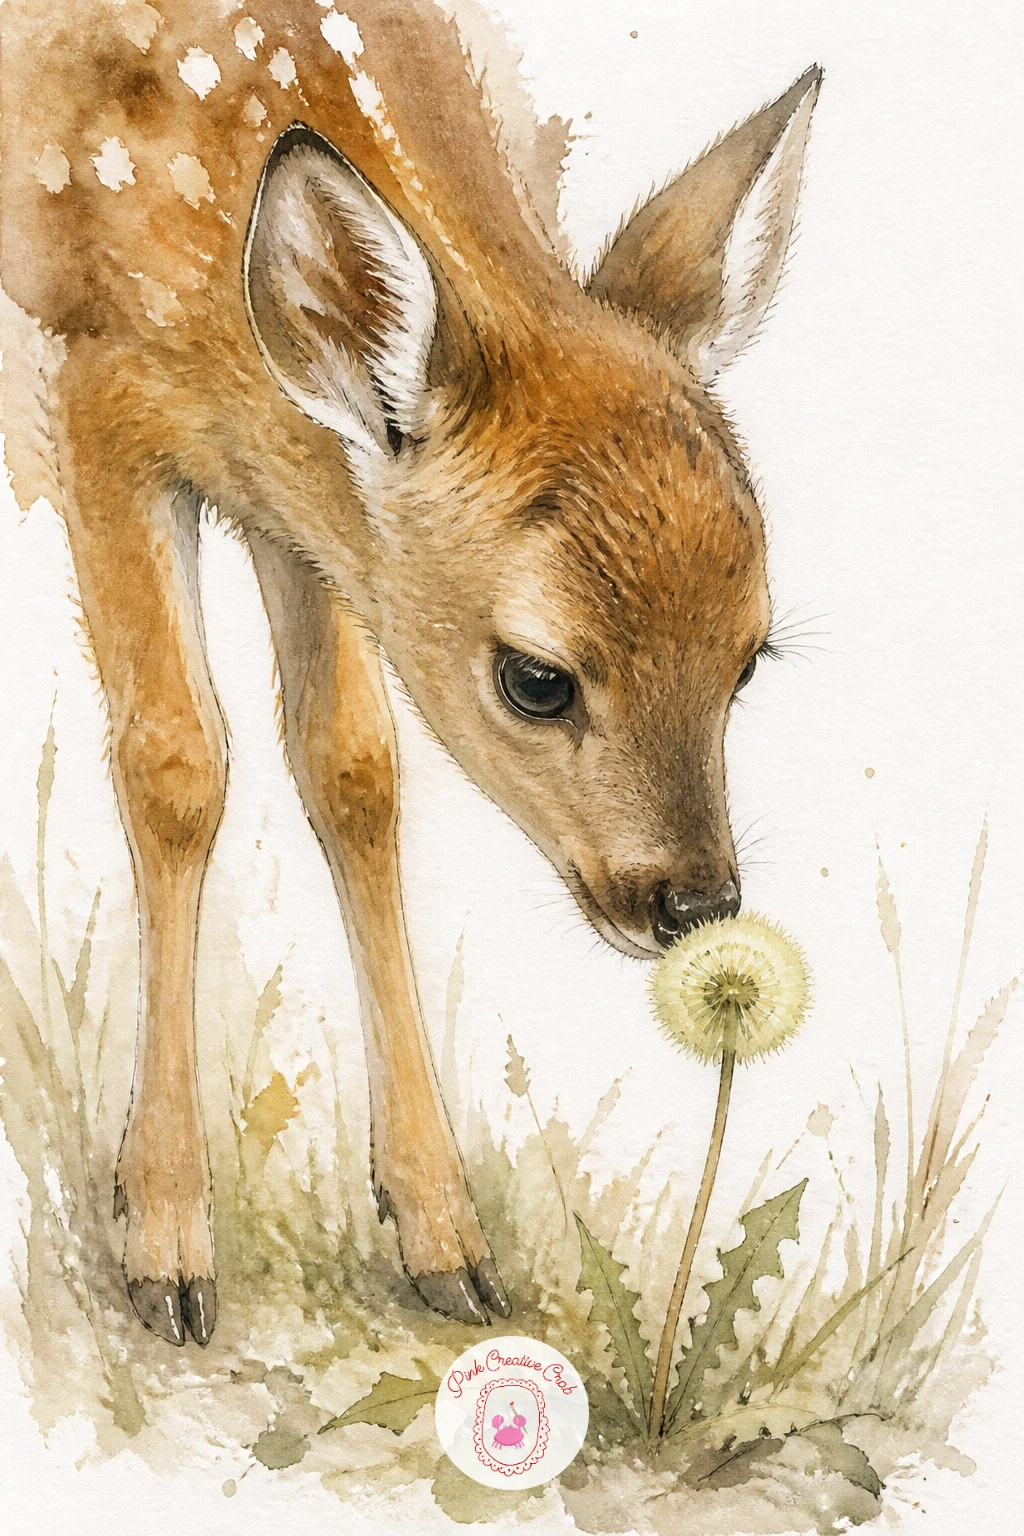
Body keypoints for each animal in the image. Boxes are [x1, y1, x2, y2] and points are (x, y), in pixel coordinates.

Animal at [0, 0, 820, 1345]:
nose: (693, 902)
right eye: (536, 677)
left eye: (748, 660)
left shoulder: (298, 491)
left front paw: (444, 1233)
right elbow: (176, 766)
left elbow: (353, 770)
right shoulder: (95, 384)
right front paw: (165, 1240)